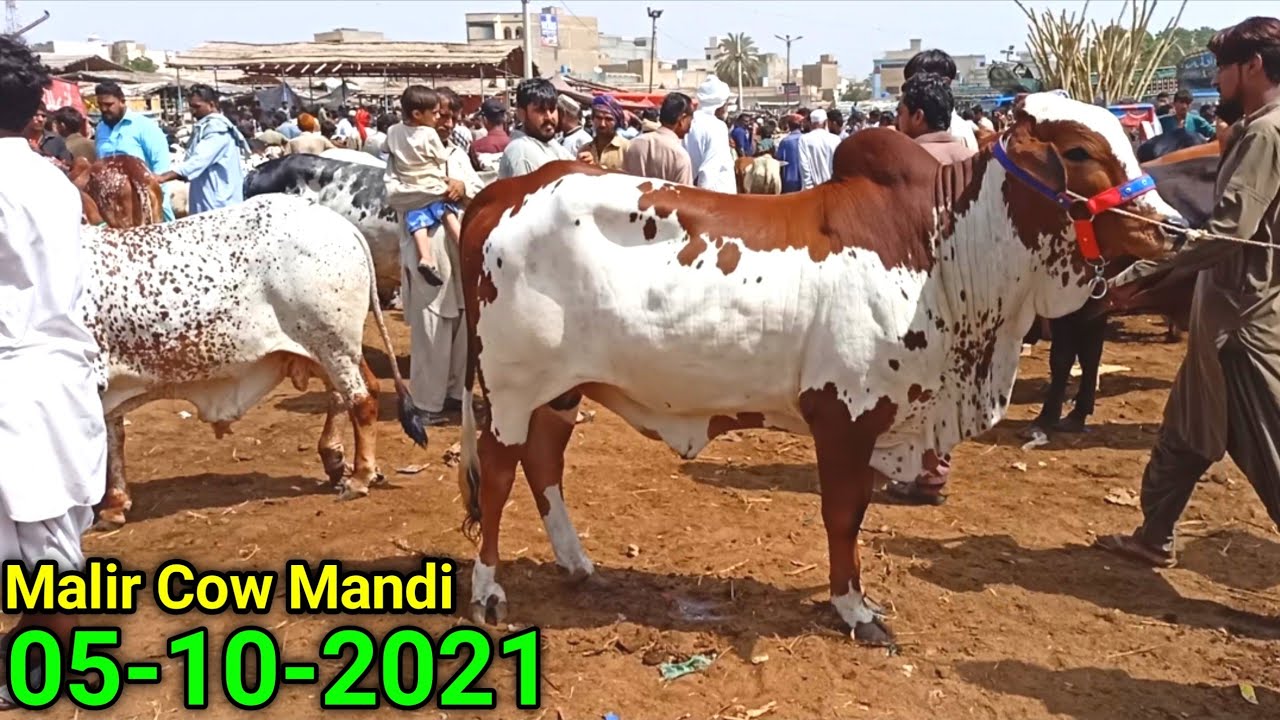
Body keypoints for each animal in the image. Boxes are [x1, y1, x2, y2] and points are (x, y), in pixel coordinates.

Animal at [85, 194, 427, 528]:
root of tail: (341, 226)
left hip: (334, 343)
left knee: (361, 399)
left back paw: (359, 477)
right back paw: (340, 462)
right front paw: (114, 504)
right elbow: (112, 436)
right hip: (327, 347)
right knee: (349, 393)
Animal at [452, 93, 1186, 643]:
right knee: (498, 476)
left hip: (560, 390)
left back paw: (578, 564)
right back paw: (488, 592)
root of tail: (507, 191)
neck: (945, 248)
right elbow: (843, 514)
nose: (1171, 228)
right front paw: (853, 608)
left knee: (544, 463)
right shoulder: (846, 417)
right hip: (511, 389)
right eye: (1081, 151)